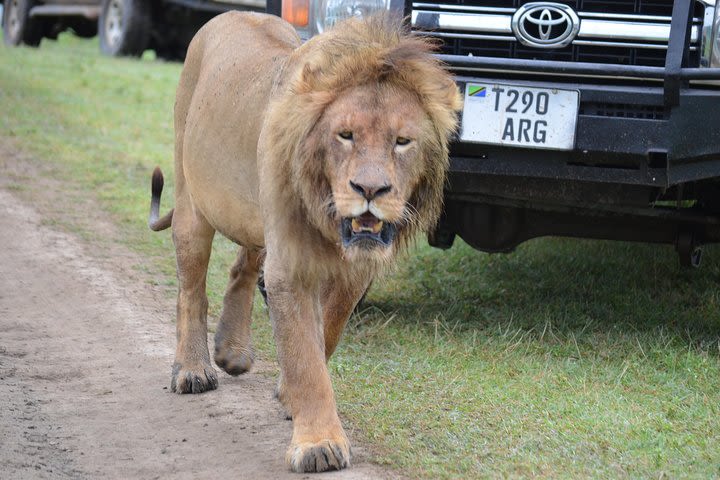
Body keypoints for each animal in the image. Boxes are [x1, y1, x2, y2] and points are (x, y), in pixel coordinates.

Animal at [150, 10, 462, 472]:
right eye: (345, 135)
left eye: (403, 141)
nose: (370, 190)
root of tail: (229, 13)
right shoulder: (292, 265)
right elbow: (304, 355)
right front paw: (318, 443)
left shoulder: (353, 271)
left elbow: (325, 334)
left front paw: (287, 395)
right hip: (191, 198)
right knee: (191, 288)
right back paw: (192, 370)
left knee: (244, 265)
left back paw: (232, 351)